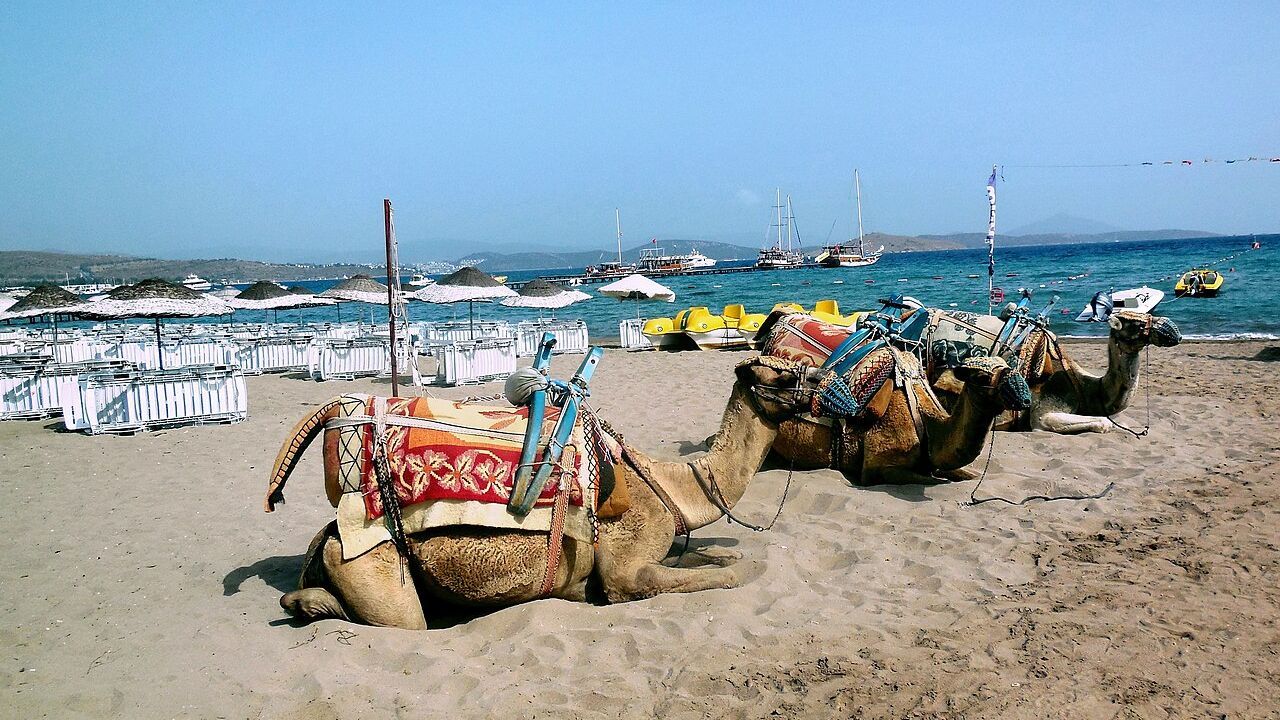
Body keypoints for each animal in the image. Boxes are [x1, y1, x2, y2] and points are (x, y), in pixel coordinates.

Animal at [264, 356, 813, 630]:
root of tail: (329, 536)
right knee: (400, 620)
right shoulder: (626, 571)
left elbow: (712, 561)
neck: (670, 487)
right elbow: (723, 575)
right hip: (373, 568)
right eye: (781, 373)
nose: (821, 390)